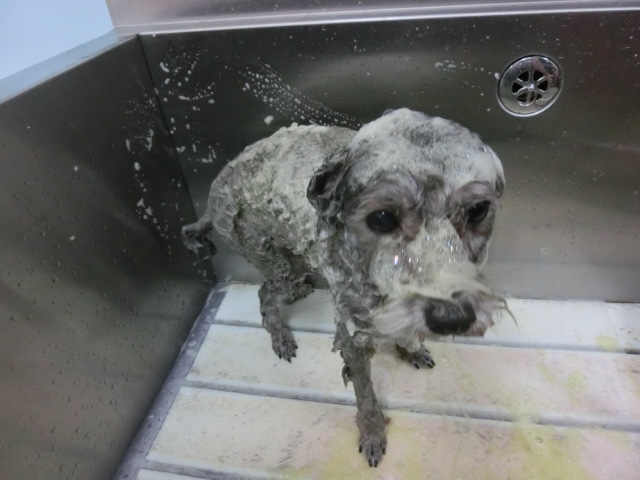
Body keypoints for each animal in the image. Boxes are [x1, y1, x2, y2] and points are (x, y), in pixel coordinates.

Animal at [182, 108, 507, 467]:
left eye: (477, 210)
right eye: (382, 218)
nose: (451, 317)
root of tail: (215, 193)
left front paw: (412, 349)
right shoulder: (353, 334)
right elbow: (365, 393)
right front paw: (372, 434)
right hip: (271, 256)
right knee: (265, 293)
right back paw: (281, 336)